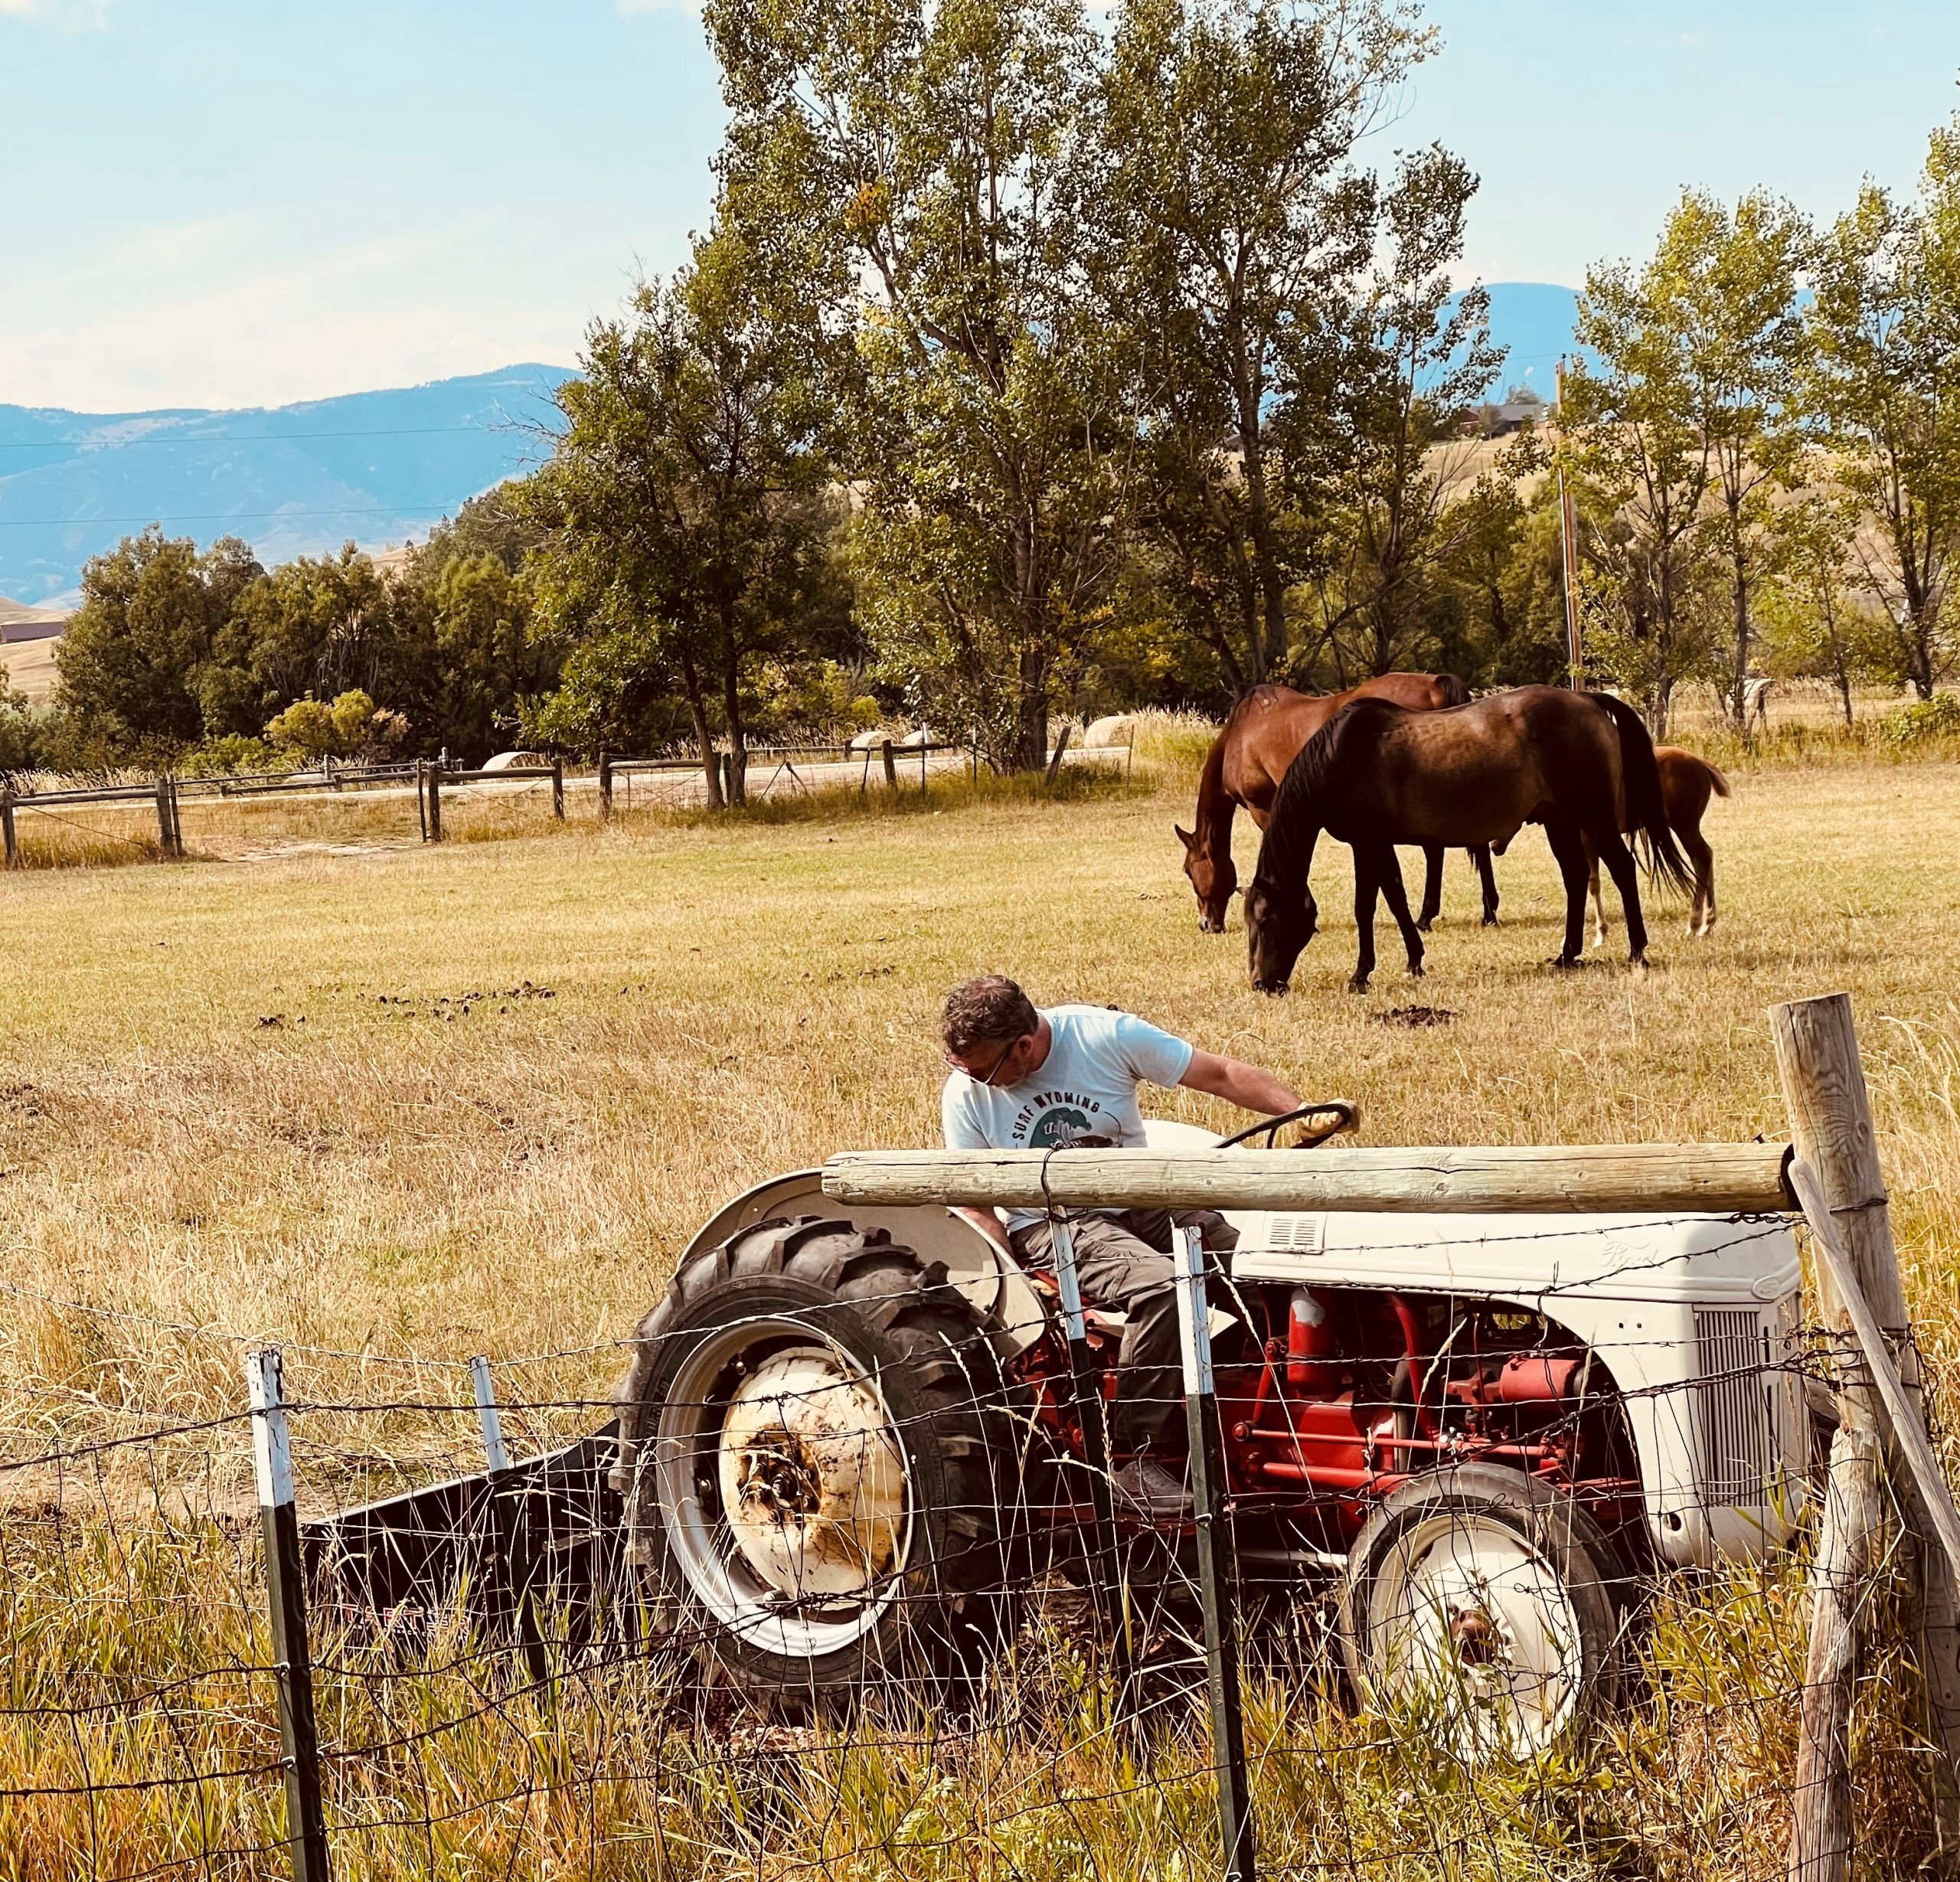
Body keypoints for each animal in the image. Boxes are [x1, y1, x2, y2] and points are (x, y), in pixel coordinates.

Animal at [1176, 674, 1497, 941]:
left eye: (1189, 871)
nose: (1207, 924)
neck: (1243, 733)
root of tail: (1435, 684)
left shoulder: (1263, 808)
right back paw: (1486, 912)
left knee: (1436, 849)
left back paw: (1432, 915)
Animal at [1246, 682, 1693, 992]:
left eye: (1266, 921)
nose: (1261, 984)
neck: (1341, 756)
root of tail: (1587, 700)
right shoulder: (1379, 845)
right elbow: (1395, 898)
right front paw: (1413, 960)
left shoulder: (1367, 842)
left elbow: (1367, 907)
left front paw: (1362, 973)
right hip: (1560, 821)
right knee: (1575, 877)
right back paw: (1568, 953)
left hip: (1593, 818)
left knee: (1622, 869)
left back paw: (1637, 950)